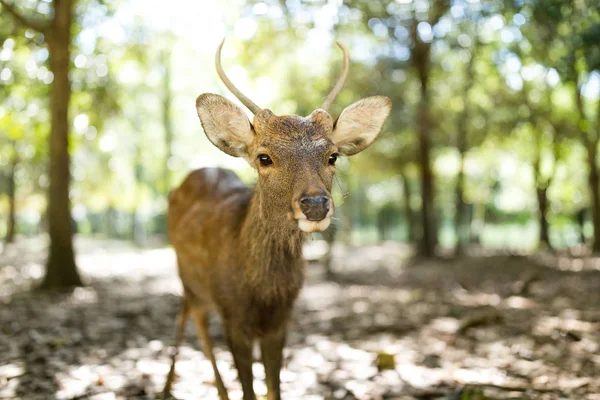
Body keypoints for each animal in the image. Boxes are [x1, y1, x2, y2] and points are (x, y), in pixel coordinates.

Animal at [162, 39, 392, 400]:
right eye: (264, 157)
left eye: (333, 156)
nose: (315, 205)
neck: (262, 293)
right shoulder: (232, 317)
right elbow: (249, 390)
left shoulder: (281, 322)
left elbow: (273, 389)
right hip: (190, 282)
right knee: (196, 323)